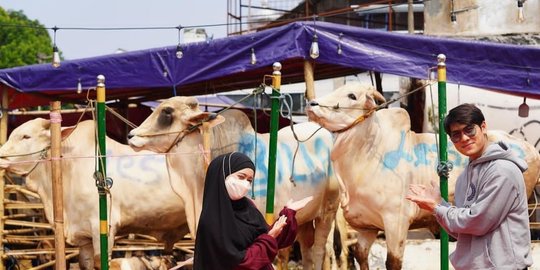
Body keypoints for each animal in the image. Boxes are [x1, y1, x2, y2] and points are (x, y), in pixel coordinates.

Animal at [127, 96, 340, 268]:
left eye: (167, 112)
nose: (131, 135)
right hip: (306, 219)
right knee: (306, 251)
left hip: (328, 211)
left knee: (319, 250)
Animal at [306, 82, 540, 270]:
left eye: (352, 96)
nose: (311, 104)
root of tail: (530, 147)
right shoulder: (366, 227)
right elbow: (360, 255)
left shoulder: (396, 222)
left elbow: (393, 263)